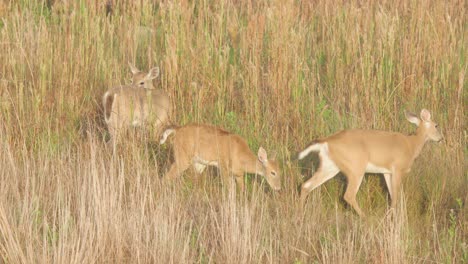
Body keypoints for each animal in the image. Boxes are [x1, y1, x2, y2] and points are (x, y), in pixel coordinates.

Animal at [300, 109, 442, 217]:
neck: (411, 145)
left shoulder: (386, 172)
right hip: (356, 168)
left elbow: (392, 194)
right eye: (436, 125)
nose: (441, 138)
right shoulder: (397, 168)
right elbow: (396, 196)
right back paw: (365, 216)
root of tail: (327, 142)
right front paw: (391, 217)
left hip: (329, 166)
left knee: (306, 185)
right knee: (349, 195)